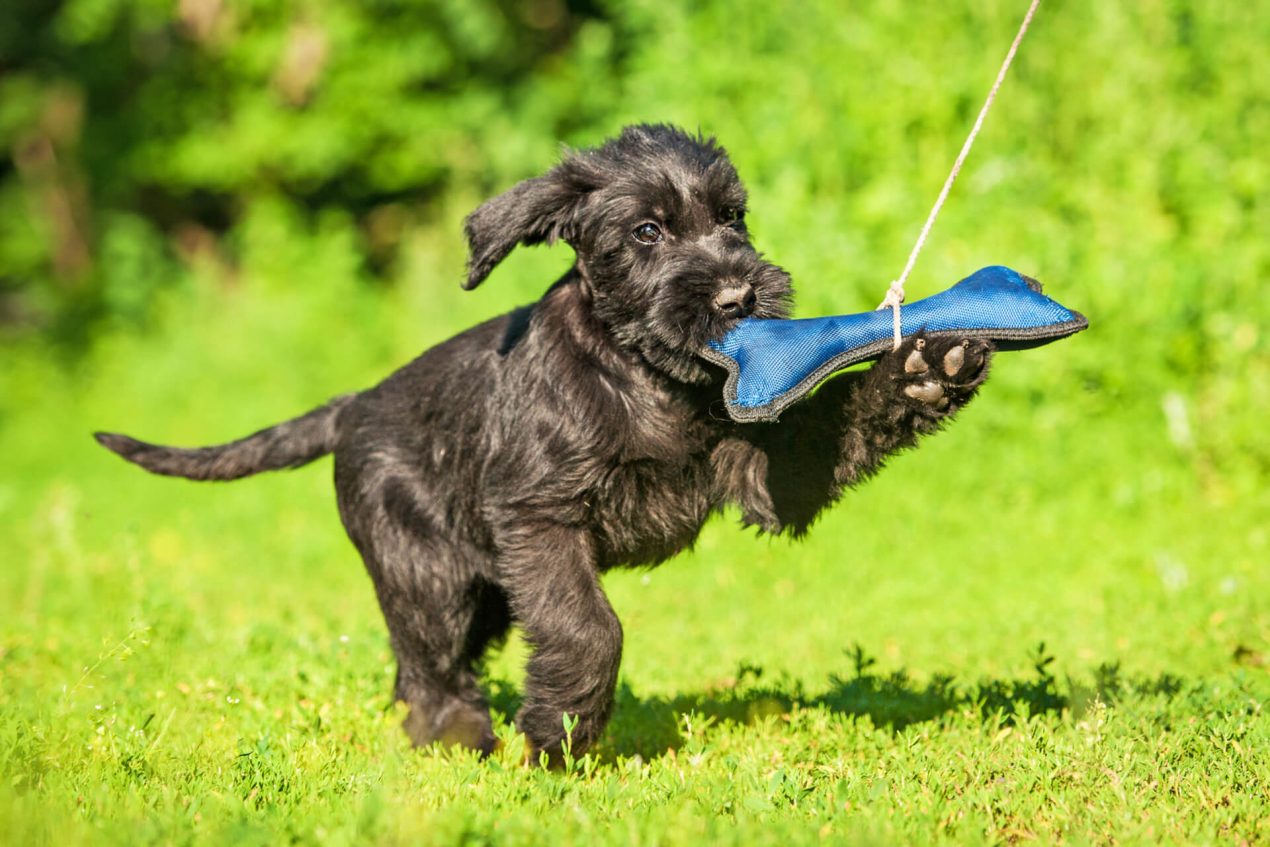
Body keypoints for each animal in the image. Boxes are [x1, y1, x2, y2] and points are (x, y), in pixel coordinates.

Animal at [96, 124, 990, 761]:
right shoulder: (539, 516)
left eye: (732, 217)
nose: (741, 293)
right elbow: (586, 625)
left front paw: (926, 371)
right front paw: (560, 734)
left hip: (487, 593)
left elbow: (837, 424)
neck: (645, 376)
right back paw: (460, 739)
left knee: (417, 666)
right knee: (428, 663)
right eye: (647, 231)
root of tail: (352, 409)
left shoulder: (761, 473)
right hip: (430, 573)